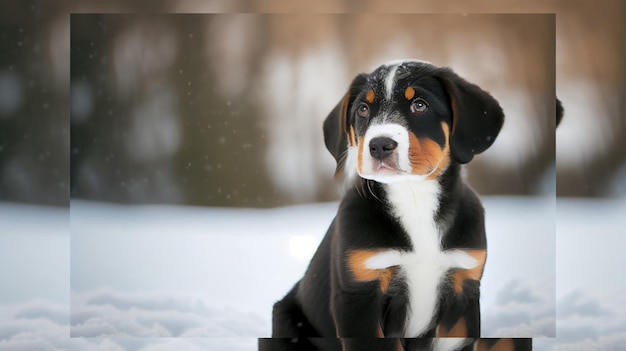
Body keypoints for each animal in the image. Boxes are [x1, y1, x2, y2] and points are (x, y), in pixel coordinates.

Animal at [260, 60, 528, 351]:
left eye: (420, 105)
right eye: (363, 109)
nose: (379, 145)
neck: (414, 198)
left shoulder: (463, 290)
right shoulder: (359, 294)